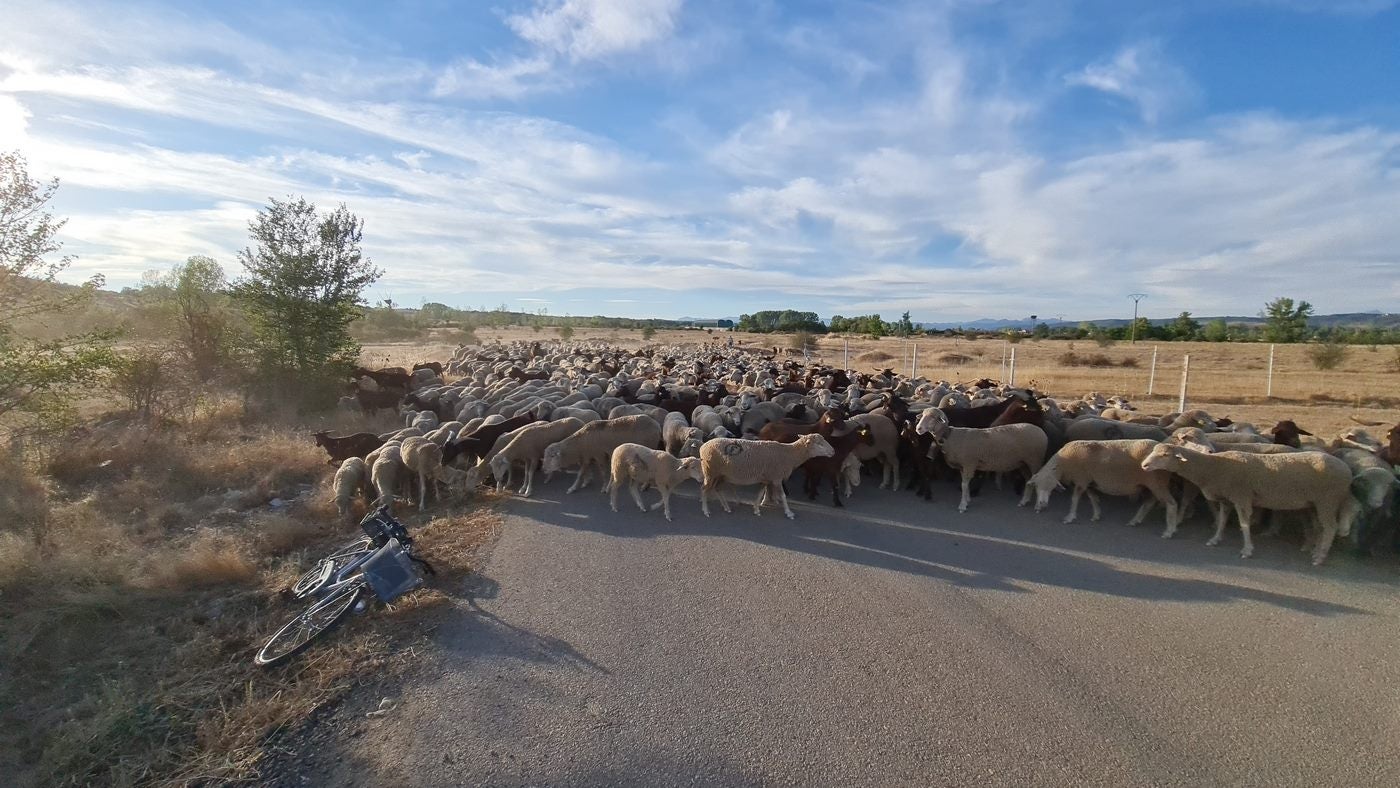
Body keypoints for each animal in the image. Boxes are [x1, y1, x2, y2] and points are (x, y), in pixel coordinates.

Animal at [700, 433, 828, 520]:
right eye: (819, 443)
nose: (832, 452)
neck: (790, 454)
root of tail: (703, 446)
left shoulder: (767, 477)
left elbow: (761, 493)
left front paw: (756, 508)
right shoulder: (777, 477)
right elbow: (783, 496)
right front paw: (789, 512)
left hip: (720, 474)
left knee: (717, 489)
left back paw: (726, 507)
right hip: (710, 471)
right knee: (704, 490)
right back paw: (706, 511)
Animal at [912, 411, 1047, 515]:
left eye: (933, 417)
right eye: (922, 415)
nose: (918, 428)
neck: (950, 437)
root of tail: (1042, 432)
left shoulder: (969, 463)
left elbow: (964, 484)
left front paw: (962, 505)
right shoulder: (963, 466)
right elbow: (965, 484)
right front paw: (967, 500)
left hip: (1035, 460)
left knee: (1038, 481)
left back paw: (1037, 506)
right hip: (1023, 463)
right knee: (1029, 480)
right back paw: (1024, 501)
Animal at [1030, 436, 1181, 529]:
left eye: (1049, 485)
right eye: (1036, 486)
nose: (1040, 505)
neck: (1065, 463)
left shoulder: (1081, 479)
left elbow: (1074, 499)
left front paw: (1070, 517)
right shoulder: (1089, 481)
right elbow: (1093, 498)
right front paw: (1096, 515)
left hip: (1156, 482)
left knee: (1171, 504)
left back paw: (1169, 530)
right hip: (1153, 484)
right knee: (1150, 502)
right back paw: (1135, 521)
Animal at [1136, 445, 1355, 568]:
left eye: (1165, 454)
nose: (1144, 466)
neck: (1213, 467)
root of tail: (1347, 469)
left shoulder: (1242, 497)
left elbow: (1244, 524)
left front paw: (1247, 550)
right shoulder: (1227, 499)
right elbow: (1222, 520)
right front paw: (1215, 539)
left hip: (1327, 499)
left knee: (1330, 527)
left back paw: (1320, 557)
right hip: (1314, 503)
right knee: (1320, 527)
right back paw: (1315, 550)